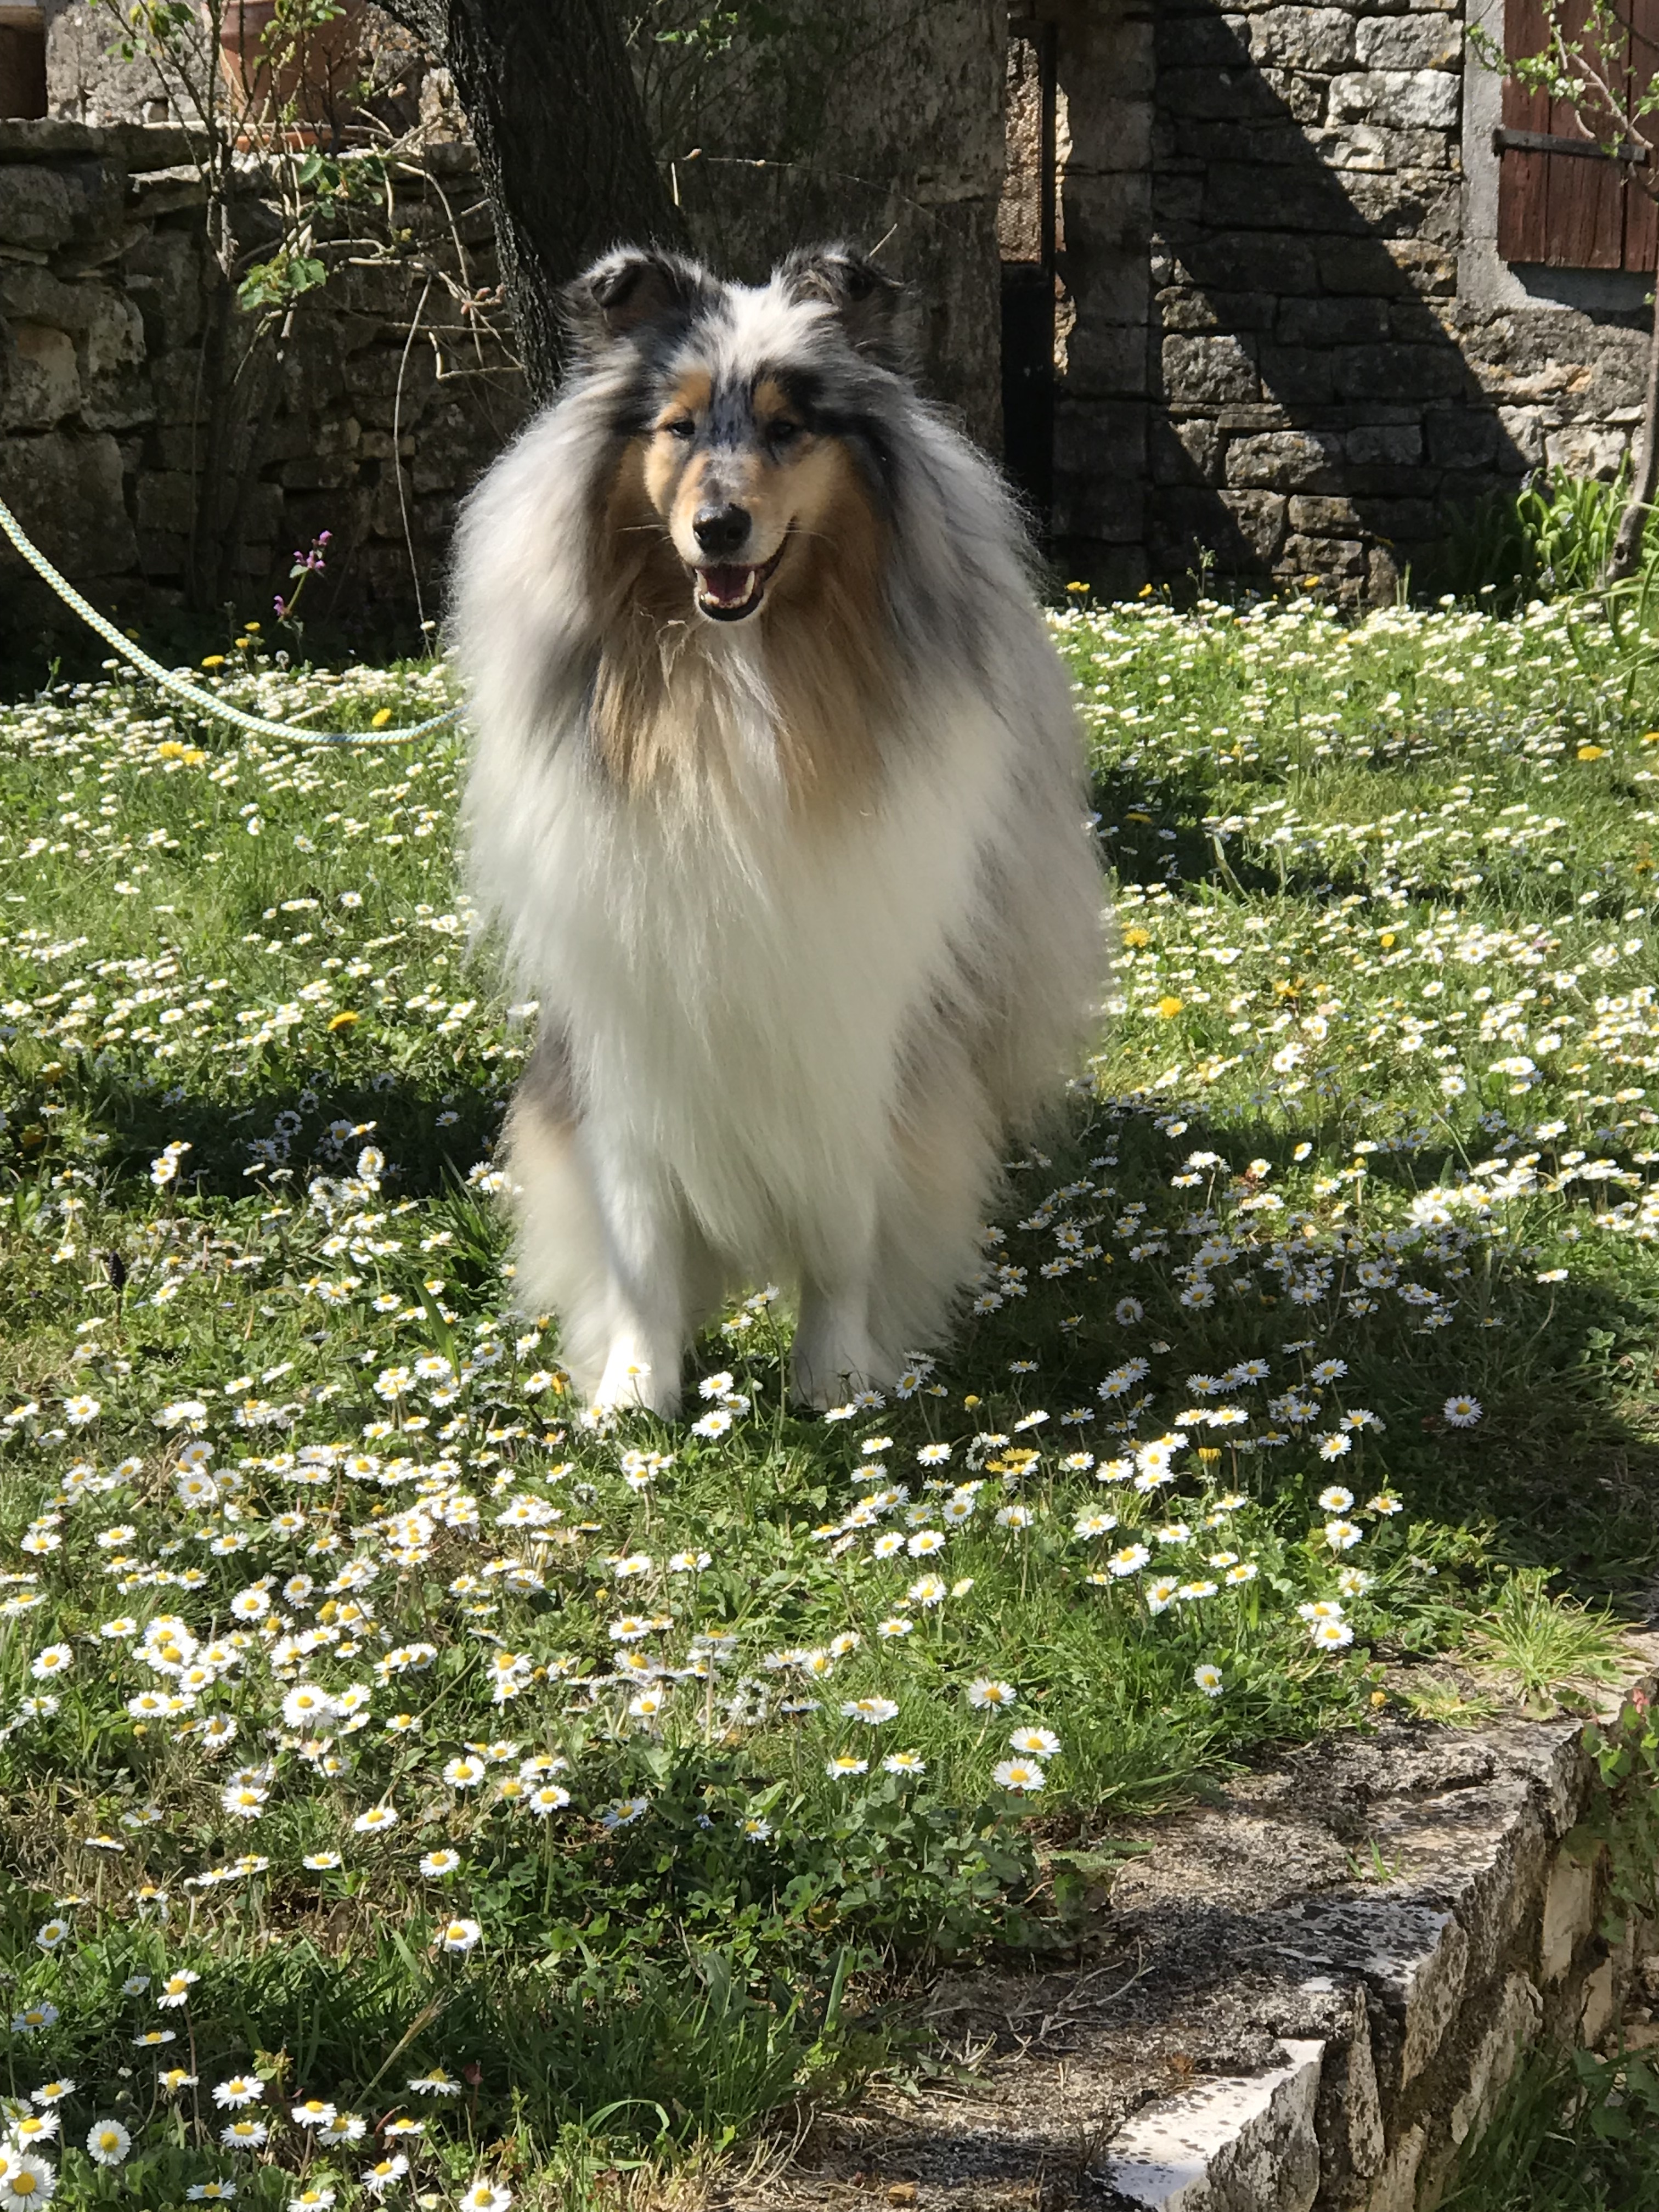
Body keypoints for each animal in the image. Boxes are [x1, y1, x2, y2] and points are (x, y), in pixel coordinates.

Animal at [452, 243, 1102, 1416]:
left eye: (789, 427)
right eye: (675, 426)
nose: (718, 528)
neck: (734, 683)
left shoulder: (848, 1021)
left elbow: (845, 1228)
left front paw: (834, 1380)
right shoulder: (630, 1018)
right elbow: (638, 1236)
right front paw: (633, 1394)